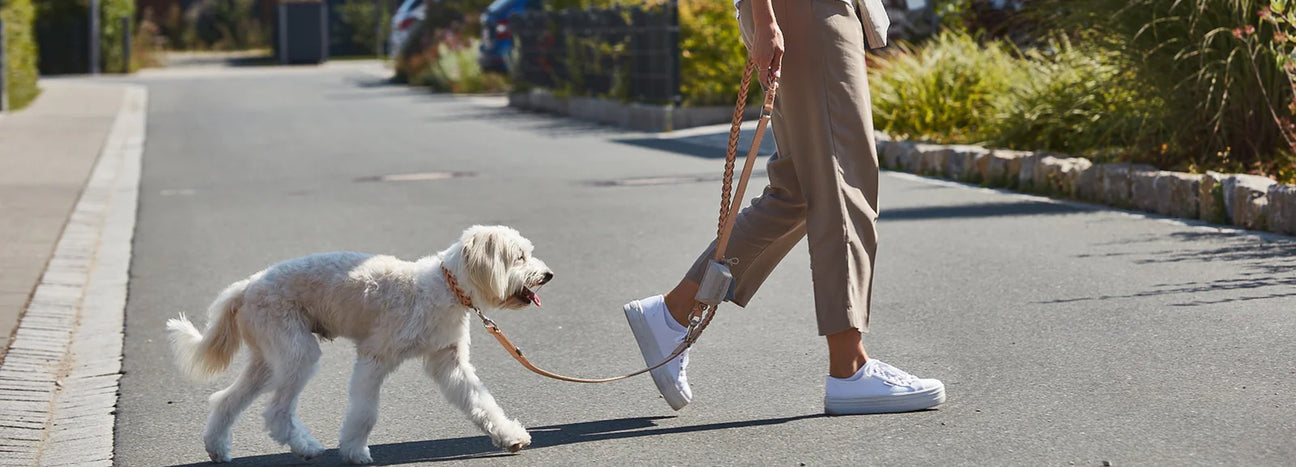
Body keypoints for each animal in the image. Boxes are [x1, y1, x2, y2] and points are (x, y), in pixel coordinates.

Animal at [164, 225, 549, 464]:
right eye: (519, 257)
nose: (548, 275)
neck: (444, 287)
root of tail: (247, 286)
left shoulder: (449, 362)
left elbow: (481, 401)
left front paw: (509, 435)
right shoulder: (374, 357)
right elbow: (365, 411)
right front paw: (353, 451)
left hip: (269, 359)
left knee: (225, 400)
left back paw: (217, 447)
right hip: (298, 353)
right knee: (276, 412)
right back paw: (306, 447)